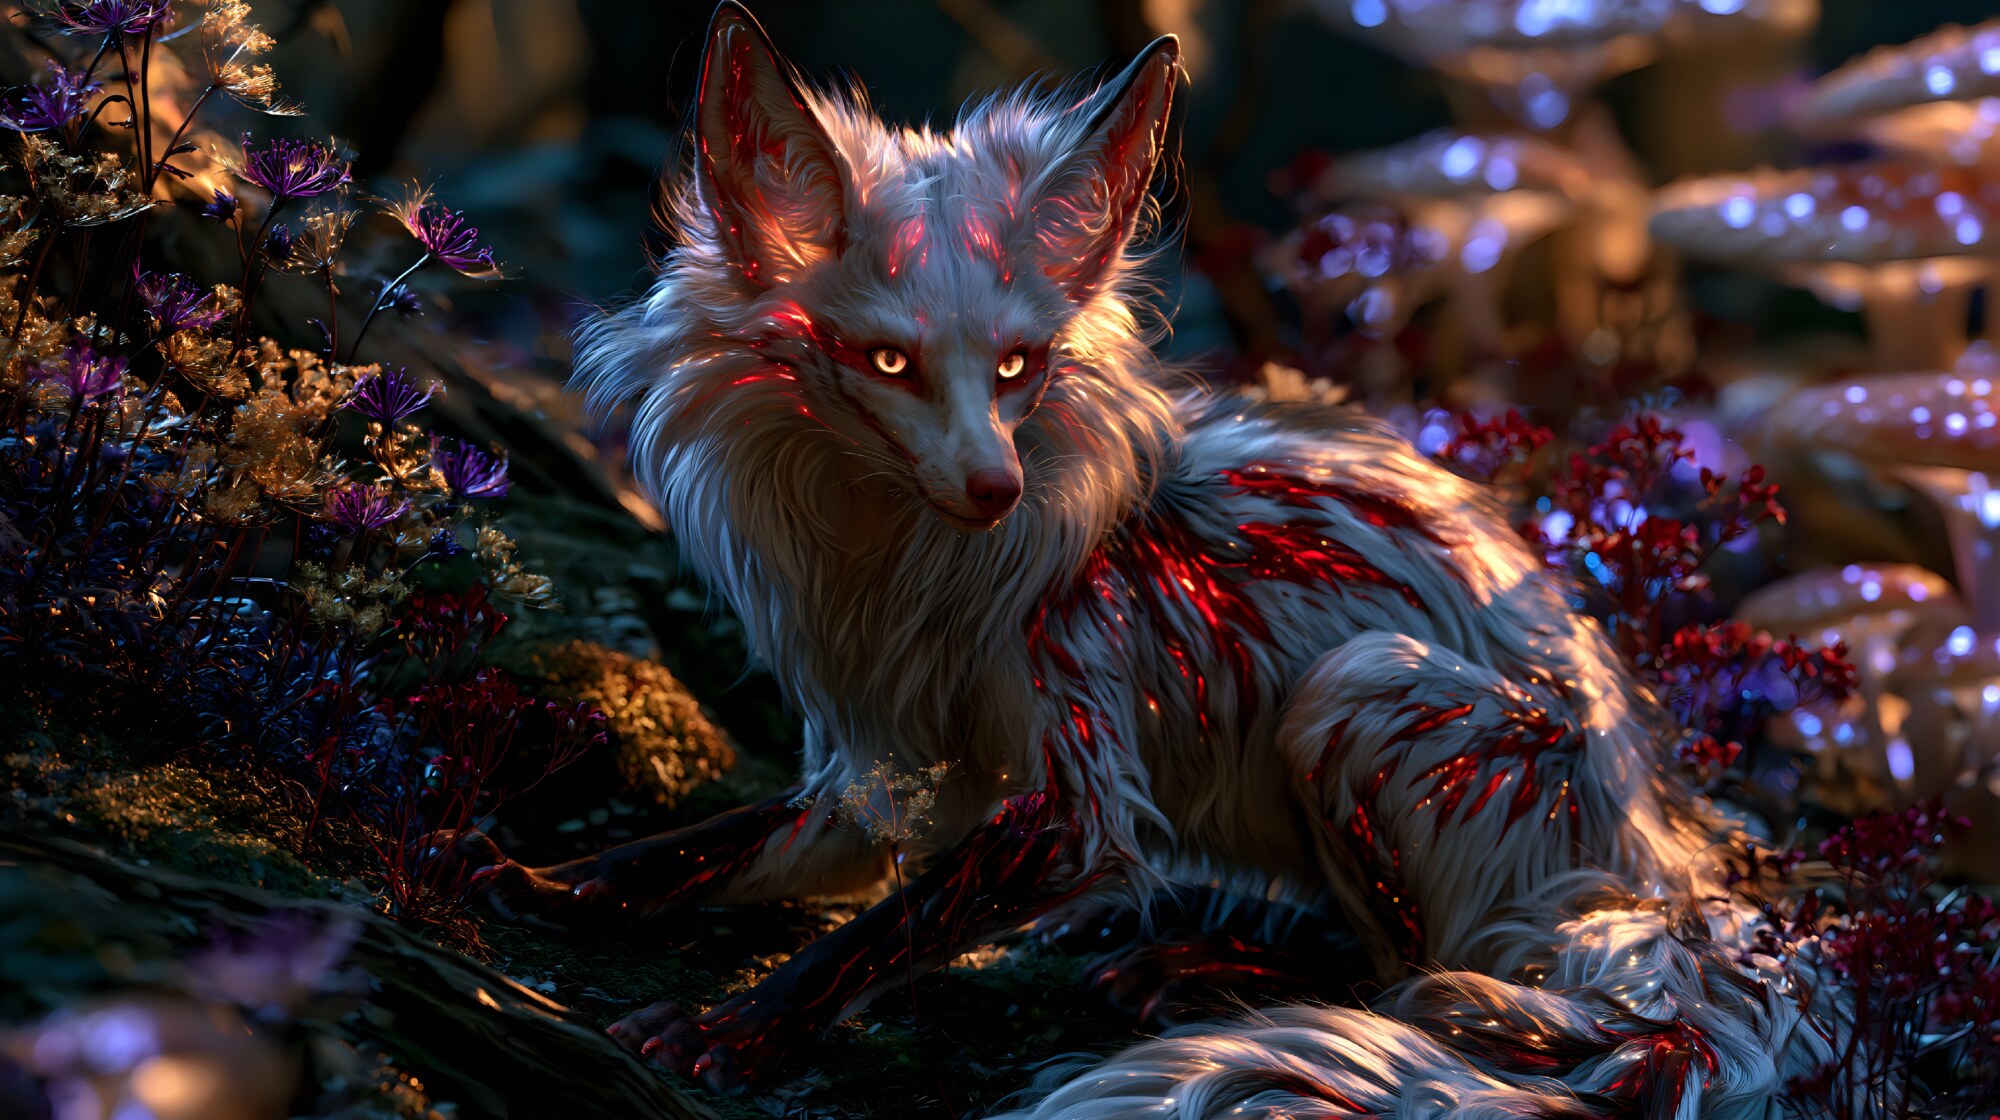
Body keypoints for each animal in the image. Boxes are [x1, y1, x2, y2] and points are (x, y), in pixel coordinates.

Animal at [457, 3, 1846, 1114]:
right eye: (889, 362)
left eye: (1018, 365)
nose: (995, 487)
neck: (894, 565)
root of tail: (1656, 860)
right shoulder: (872, 757)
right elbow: (718, 851)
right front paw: (544, 882)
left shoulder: (1075, 770)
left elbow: (882, 933)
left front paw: (734, 1028)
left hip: (1363, 694)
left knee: (1410, 975)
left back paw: (1201, 965)